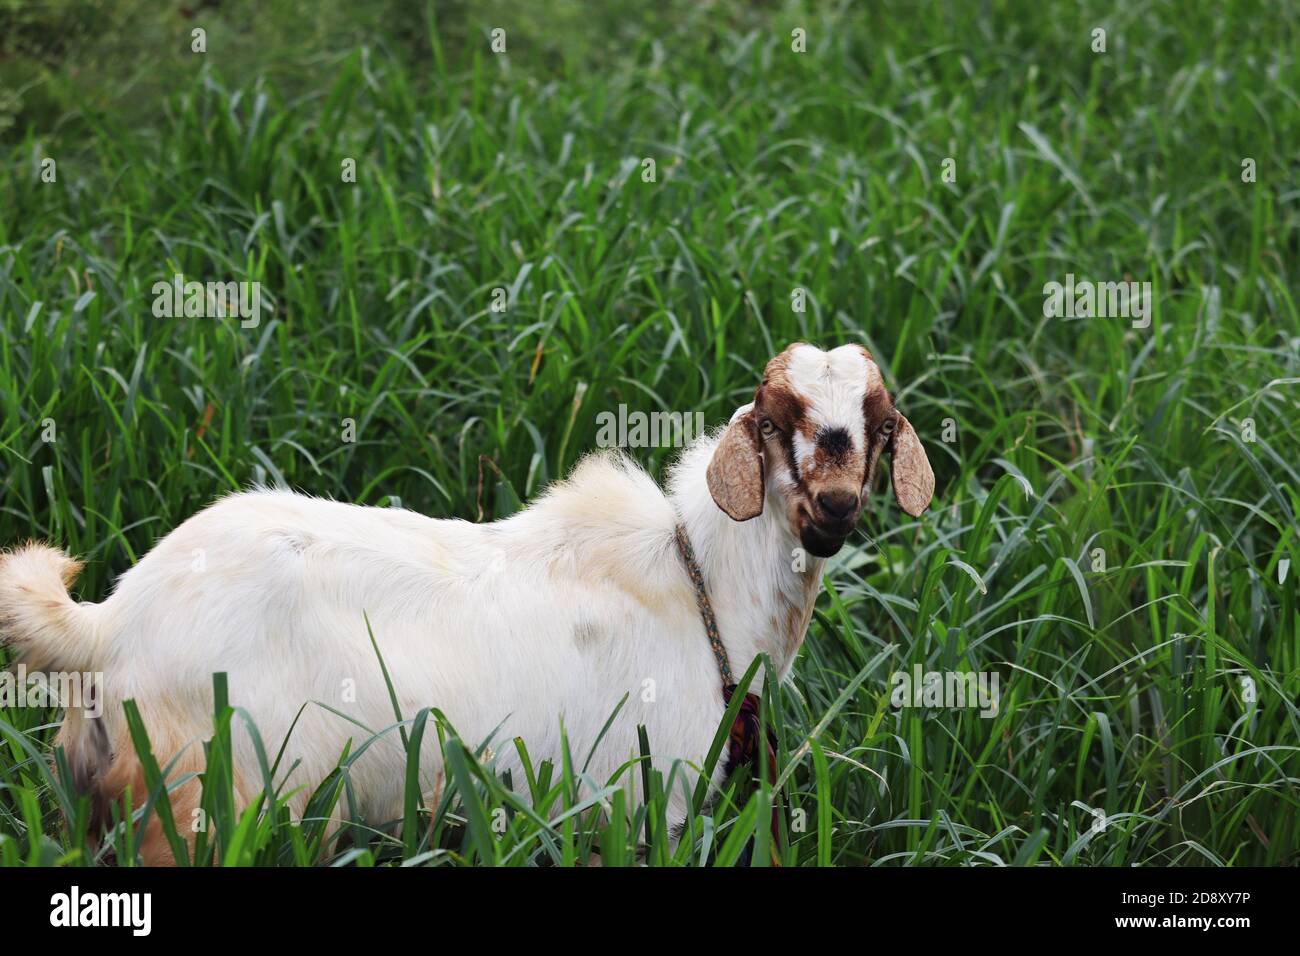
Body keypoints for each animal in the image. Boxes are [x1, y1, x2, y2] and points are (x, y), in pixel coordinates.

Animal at [2, 343, 935, 858]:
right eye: (777, 424)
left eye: (880, 426)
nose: (834, 510)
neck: (698, 583)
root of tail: (110, 621)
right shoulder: (645, 796)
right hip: (206, 797)